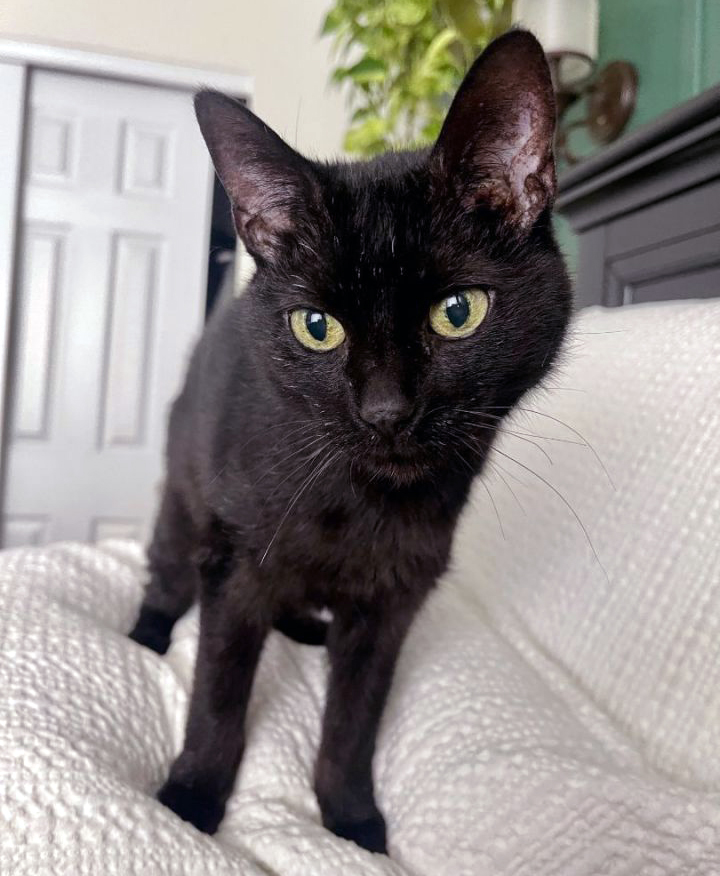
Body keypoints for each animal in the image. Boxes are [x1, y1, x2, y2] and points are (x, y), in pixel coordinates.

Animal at [129, 28, 572, 855]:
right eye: (317, 327)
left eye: (458, 311)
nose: (386, 410)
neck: (361, 502)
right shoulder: (235, 566)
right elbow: (218, 694)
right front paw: (192, 796)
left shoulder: (394, 599)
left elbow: (355, 718)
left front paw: (351, 817)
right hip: (184, 496)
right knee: (167, 572)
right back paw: (146, 633)